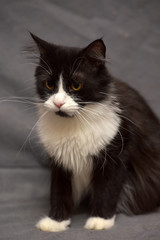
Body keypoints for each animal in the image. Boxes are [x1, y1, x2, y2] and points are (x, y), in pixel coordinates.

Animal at [28, 32, 160, 232]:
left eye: (76, 86)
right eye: (49, 85)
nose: (58, 102)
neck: (74, 124)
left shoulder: (115, 156)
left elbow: (106, 190)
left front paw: (100, 220)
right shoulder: (60, 161)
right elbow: (59, 192)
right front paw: (56, 222)